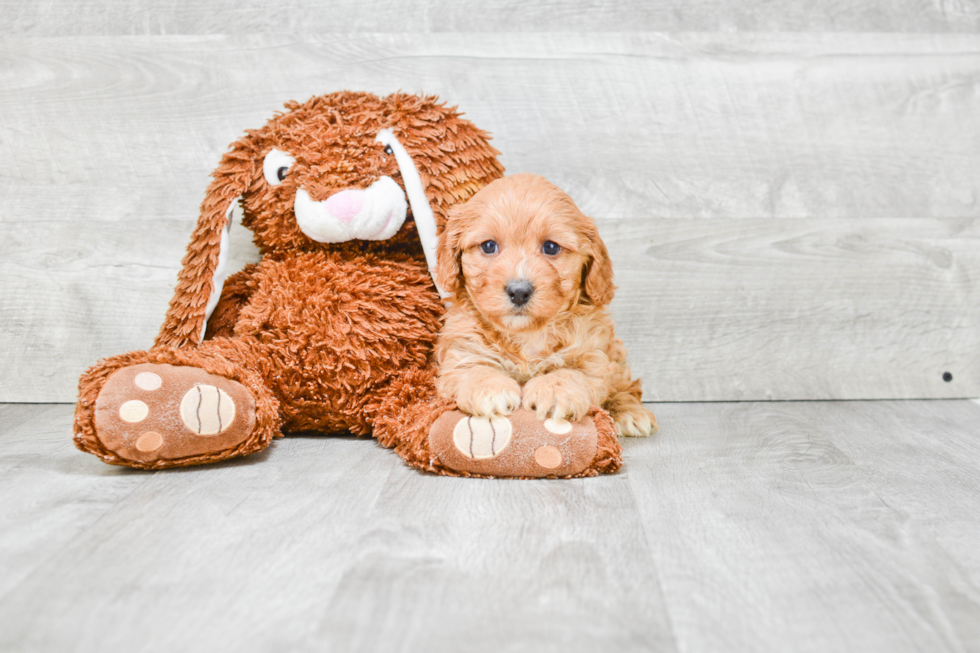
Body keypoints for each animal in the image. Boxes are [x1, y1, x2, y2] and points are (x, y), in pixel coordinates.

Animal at [436, 173, 660, 438]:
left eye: (551, 247)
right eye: (488, 246)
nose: (519, 292)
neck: (527, 334)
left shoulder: (594, 350)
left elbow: (575, 372)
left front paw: (555, 391)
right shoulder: (462, 347)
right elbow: (473, 367)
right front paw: (490, 389)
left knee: (625, 384)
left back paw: (629, 412)